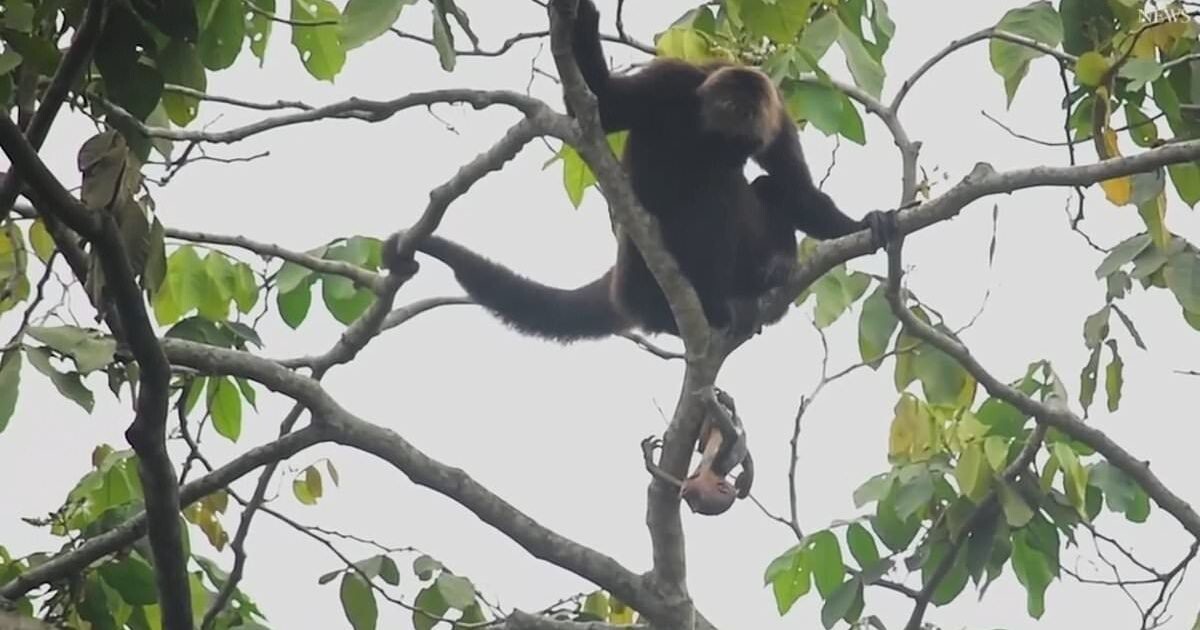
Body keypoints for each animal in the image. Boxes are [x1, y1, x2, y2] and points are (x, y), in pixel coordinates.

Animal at [379, 0, 897, 340]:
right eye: (726, 109)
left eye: (748, 117)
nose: (737, 127)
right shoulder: (674, 81)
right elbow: (605, 105)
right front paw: (581, 14)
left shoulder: (778, 123)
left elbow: (799, 190)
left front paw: (865, 224)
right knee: (716, 194)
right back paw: (695, 308)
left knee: (765, 187)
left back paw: (767, 275)